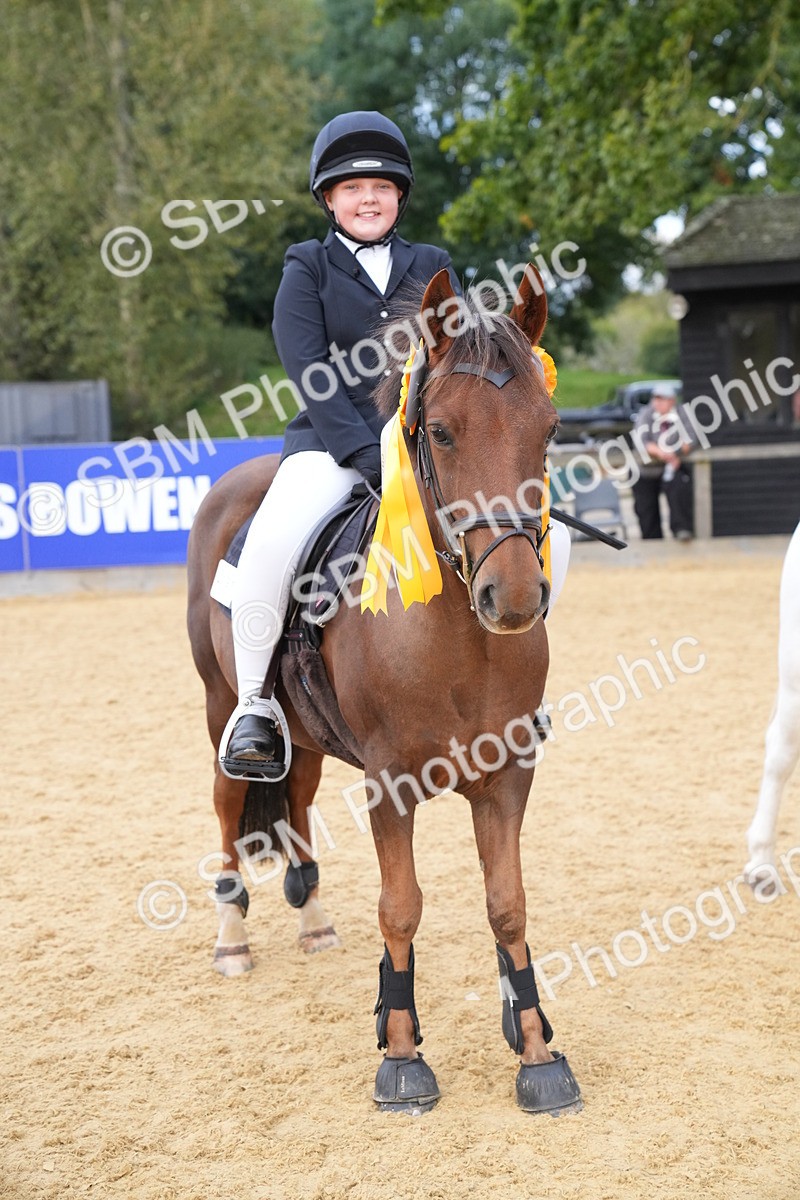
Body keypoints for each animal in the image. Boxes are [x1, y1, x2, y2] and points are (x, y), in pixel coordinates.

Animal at [186, 266, 583, 1115]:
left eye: (548, 428)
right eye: (442, 432)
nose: (513, 596)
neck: (458, 636)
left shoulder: (508, 775)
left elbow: (508, 905)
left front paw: (536, 1052)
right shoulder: (389, 783)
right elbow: (401, 908)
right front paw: (402, 1058)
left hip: (302, 732)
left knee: (295, 792)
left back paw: (313, 920)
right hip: (219, 706)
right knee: (230, 800)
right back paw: (232, 937)